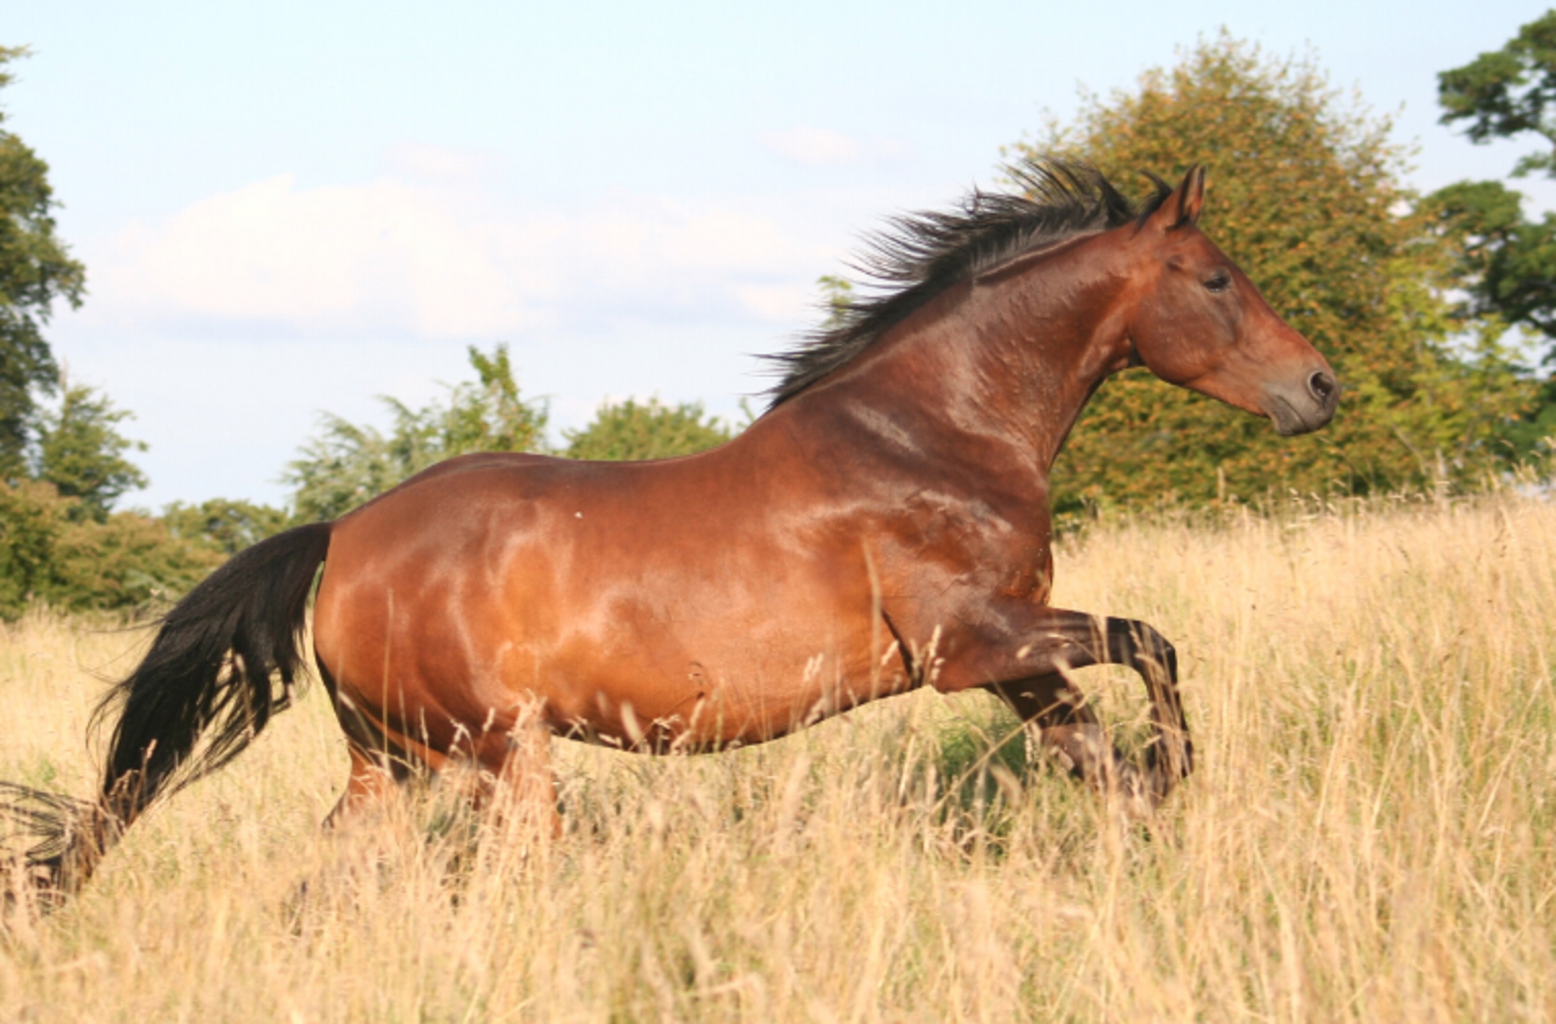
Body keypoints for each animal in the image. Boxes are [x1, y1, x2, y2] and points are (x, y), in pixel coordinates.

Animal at [0, 157, 1338, 896]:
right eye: (1215, 280)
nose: (1318, 387)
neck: (933, 431)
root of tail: (339, 540)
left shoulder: (1013, 660)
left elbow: (1099, 753)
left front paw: (1156, 811)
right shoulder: (973, 646)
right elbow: (1150, 642)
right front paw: (1177, 771)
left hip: (395, 763)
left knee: (320, 880)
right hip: (501, 757)